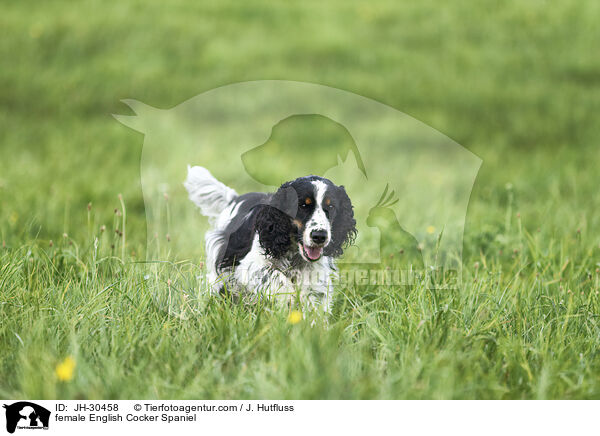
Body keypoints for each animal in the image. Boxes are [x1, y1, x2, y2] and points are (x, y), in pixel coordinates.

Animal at [184, 165, 356, 312]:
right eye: (303, 205)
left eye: (331, 206)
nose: (319, 236)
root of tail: (235, 199)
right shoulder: (249, 265)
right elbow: (275, 277)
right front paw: (289, 297)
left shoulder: (315, 272)